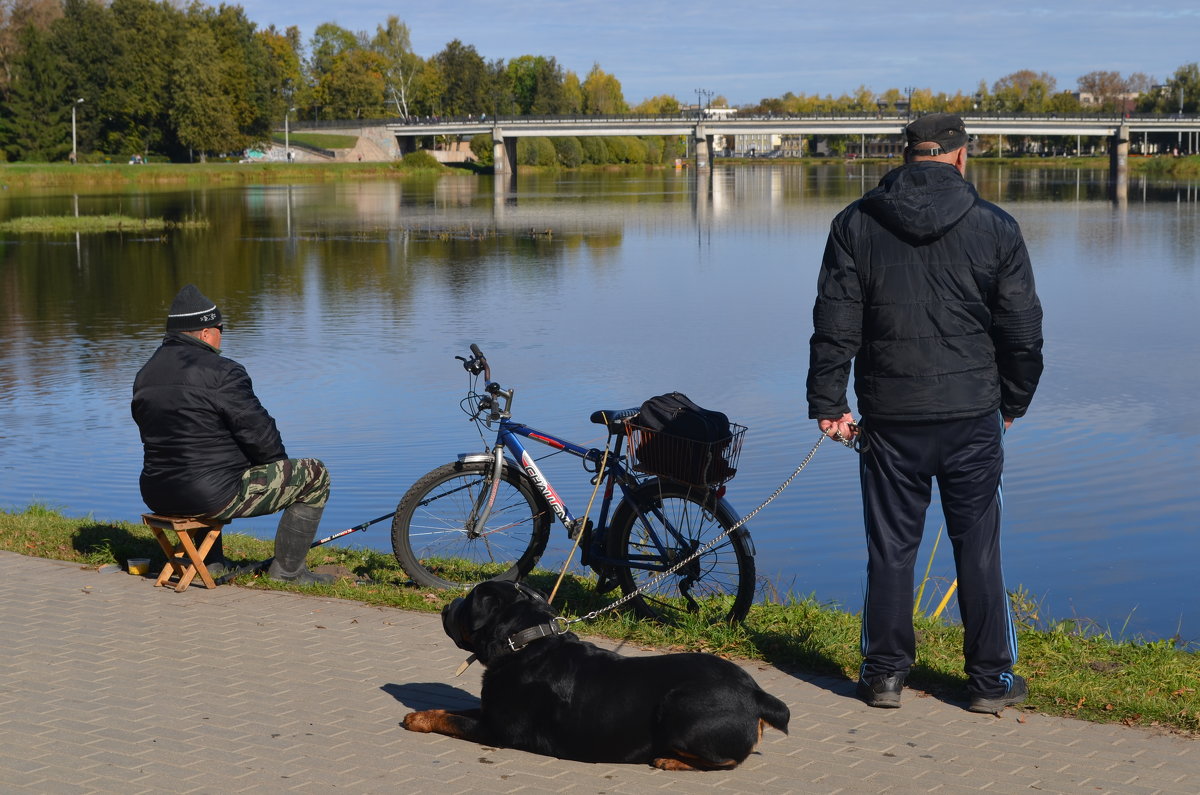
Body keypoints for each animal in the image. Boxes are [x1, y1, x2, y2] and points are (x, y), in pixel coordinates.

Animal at [400, 578, 787, 773]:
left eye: (466, 602)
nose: (445, 606)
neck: (524, 643)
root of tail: (757, 694)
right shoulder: (489, 711)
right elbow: (452, 711)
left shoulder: (497, 729)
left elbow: (450, 719)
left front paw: (418, 718)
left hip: (683, 707)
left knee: (727, 762)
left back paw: (671, 759)